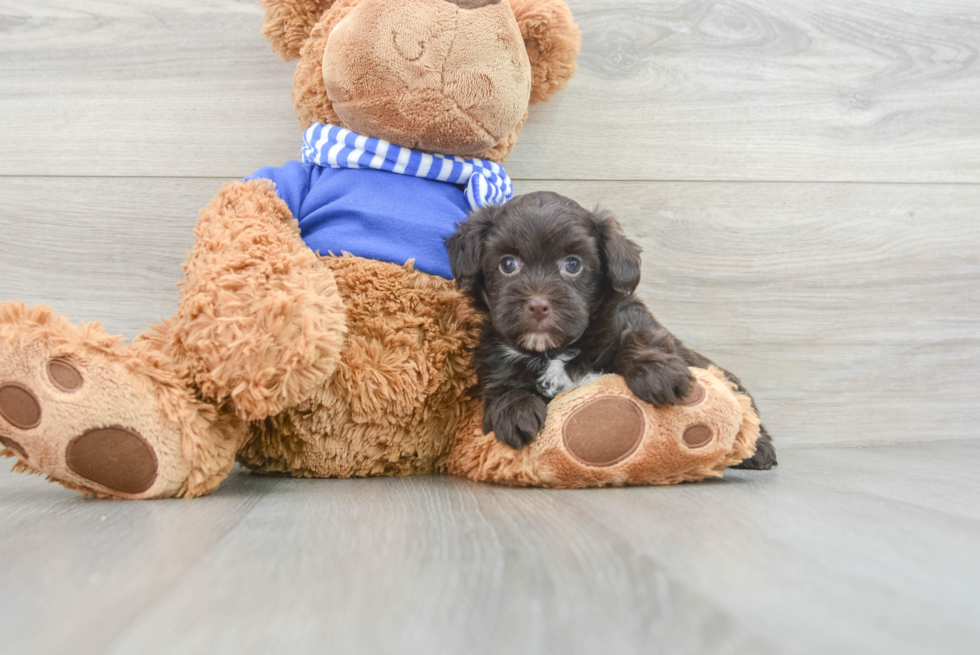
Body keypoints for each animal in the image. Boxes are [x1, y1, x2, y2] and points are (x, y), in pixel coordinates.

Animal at [448, 192, 776, 468]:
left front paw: (658, 374)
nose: (538, 305)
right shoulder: (494, 355)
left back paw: (759, 450)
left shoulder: (632, 317)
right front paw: (514, 412)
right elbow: (502, 385)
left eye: (573, 265)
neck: (554, 349)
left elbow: (639, 337)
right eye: (507, 264)